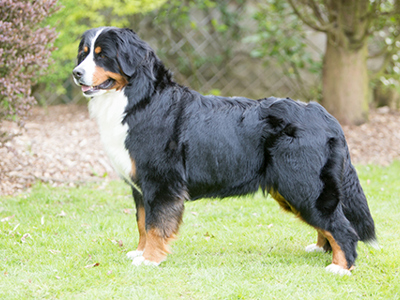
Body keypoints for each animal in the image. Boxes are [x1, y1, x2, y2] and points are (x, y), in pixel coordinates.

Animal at [72, 27, 378, 276]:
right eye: (83, 54)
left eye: (102, 56)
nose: (76, 73)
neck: (140, 101)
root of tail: (323, 113)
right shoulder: (140, 187)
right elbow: (142, 222)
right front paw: (139, 252)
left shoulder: (161, 182)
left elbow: (156, 225)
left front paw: (150, 260)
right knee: (328, 223)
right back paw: (321, 249)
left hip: (302, 184)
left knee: (342, 227)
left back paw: (340, 267)